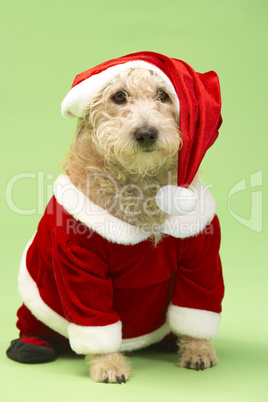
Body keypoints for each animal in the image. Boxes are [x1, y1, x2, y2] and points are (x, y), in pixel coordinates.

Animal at [6, 53, 224, 384]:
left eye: (163, 95)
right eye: (119, 96)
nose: (146, 134)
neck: (139, 185)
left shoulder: (202, 255)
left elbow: (197, 307)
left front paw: (197, 348)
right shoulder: (78, 263)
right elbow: (96, 323)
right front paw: (108, 363)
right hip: (38, 300)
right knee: (34, 322)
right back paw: (31, 345)